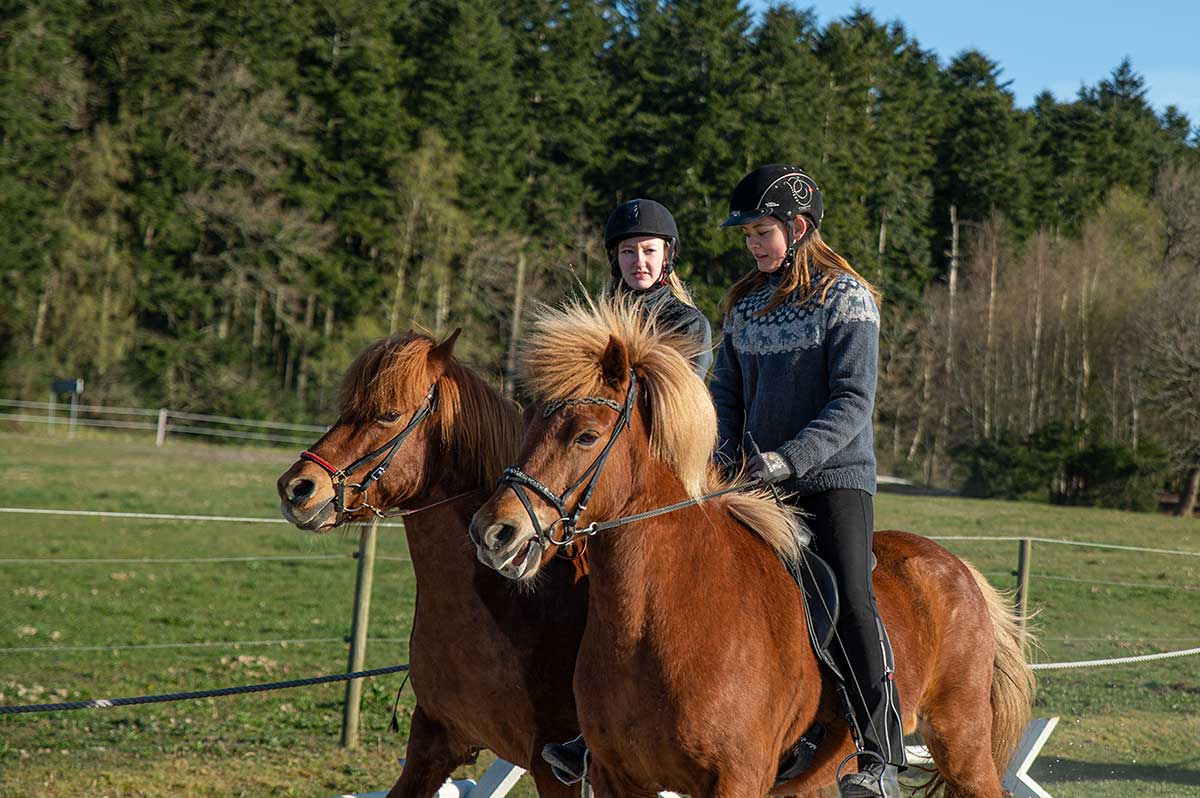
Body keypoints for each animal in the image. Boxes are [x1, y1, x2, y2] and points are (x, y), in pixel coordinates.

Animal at [468, 297, 1032, 796]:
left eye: (586, 436)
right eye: (528, 421)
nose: (493, 533)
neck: (666, 611)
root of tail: (956, 567)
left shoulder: (736, 779)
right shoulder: (616, 780)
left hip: (962, 744)